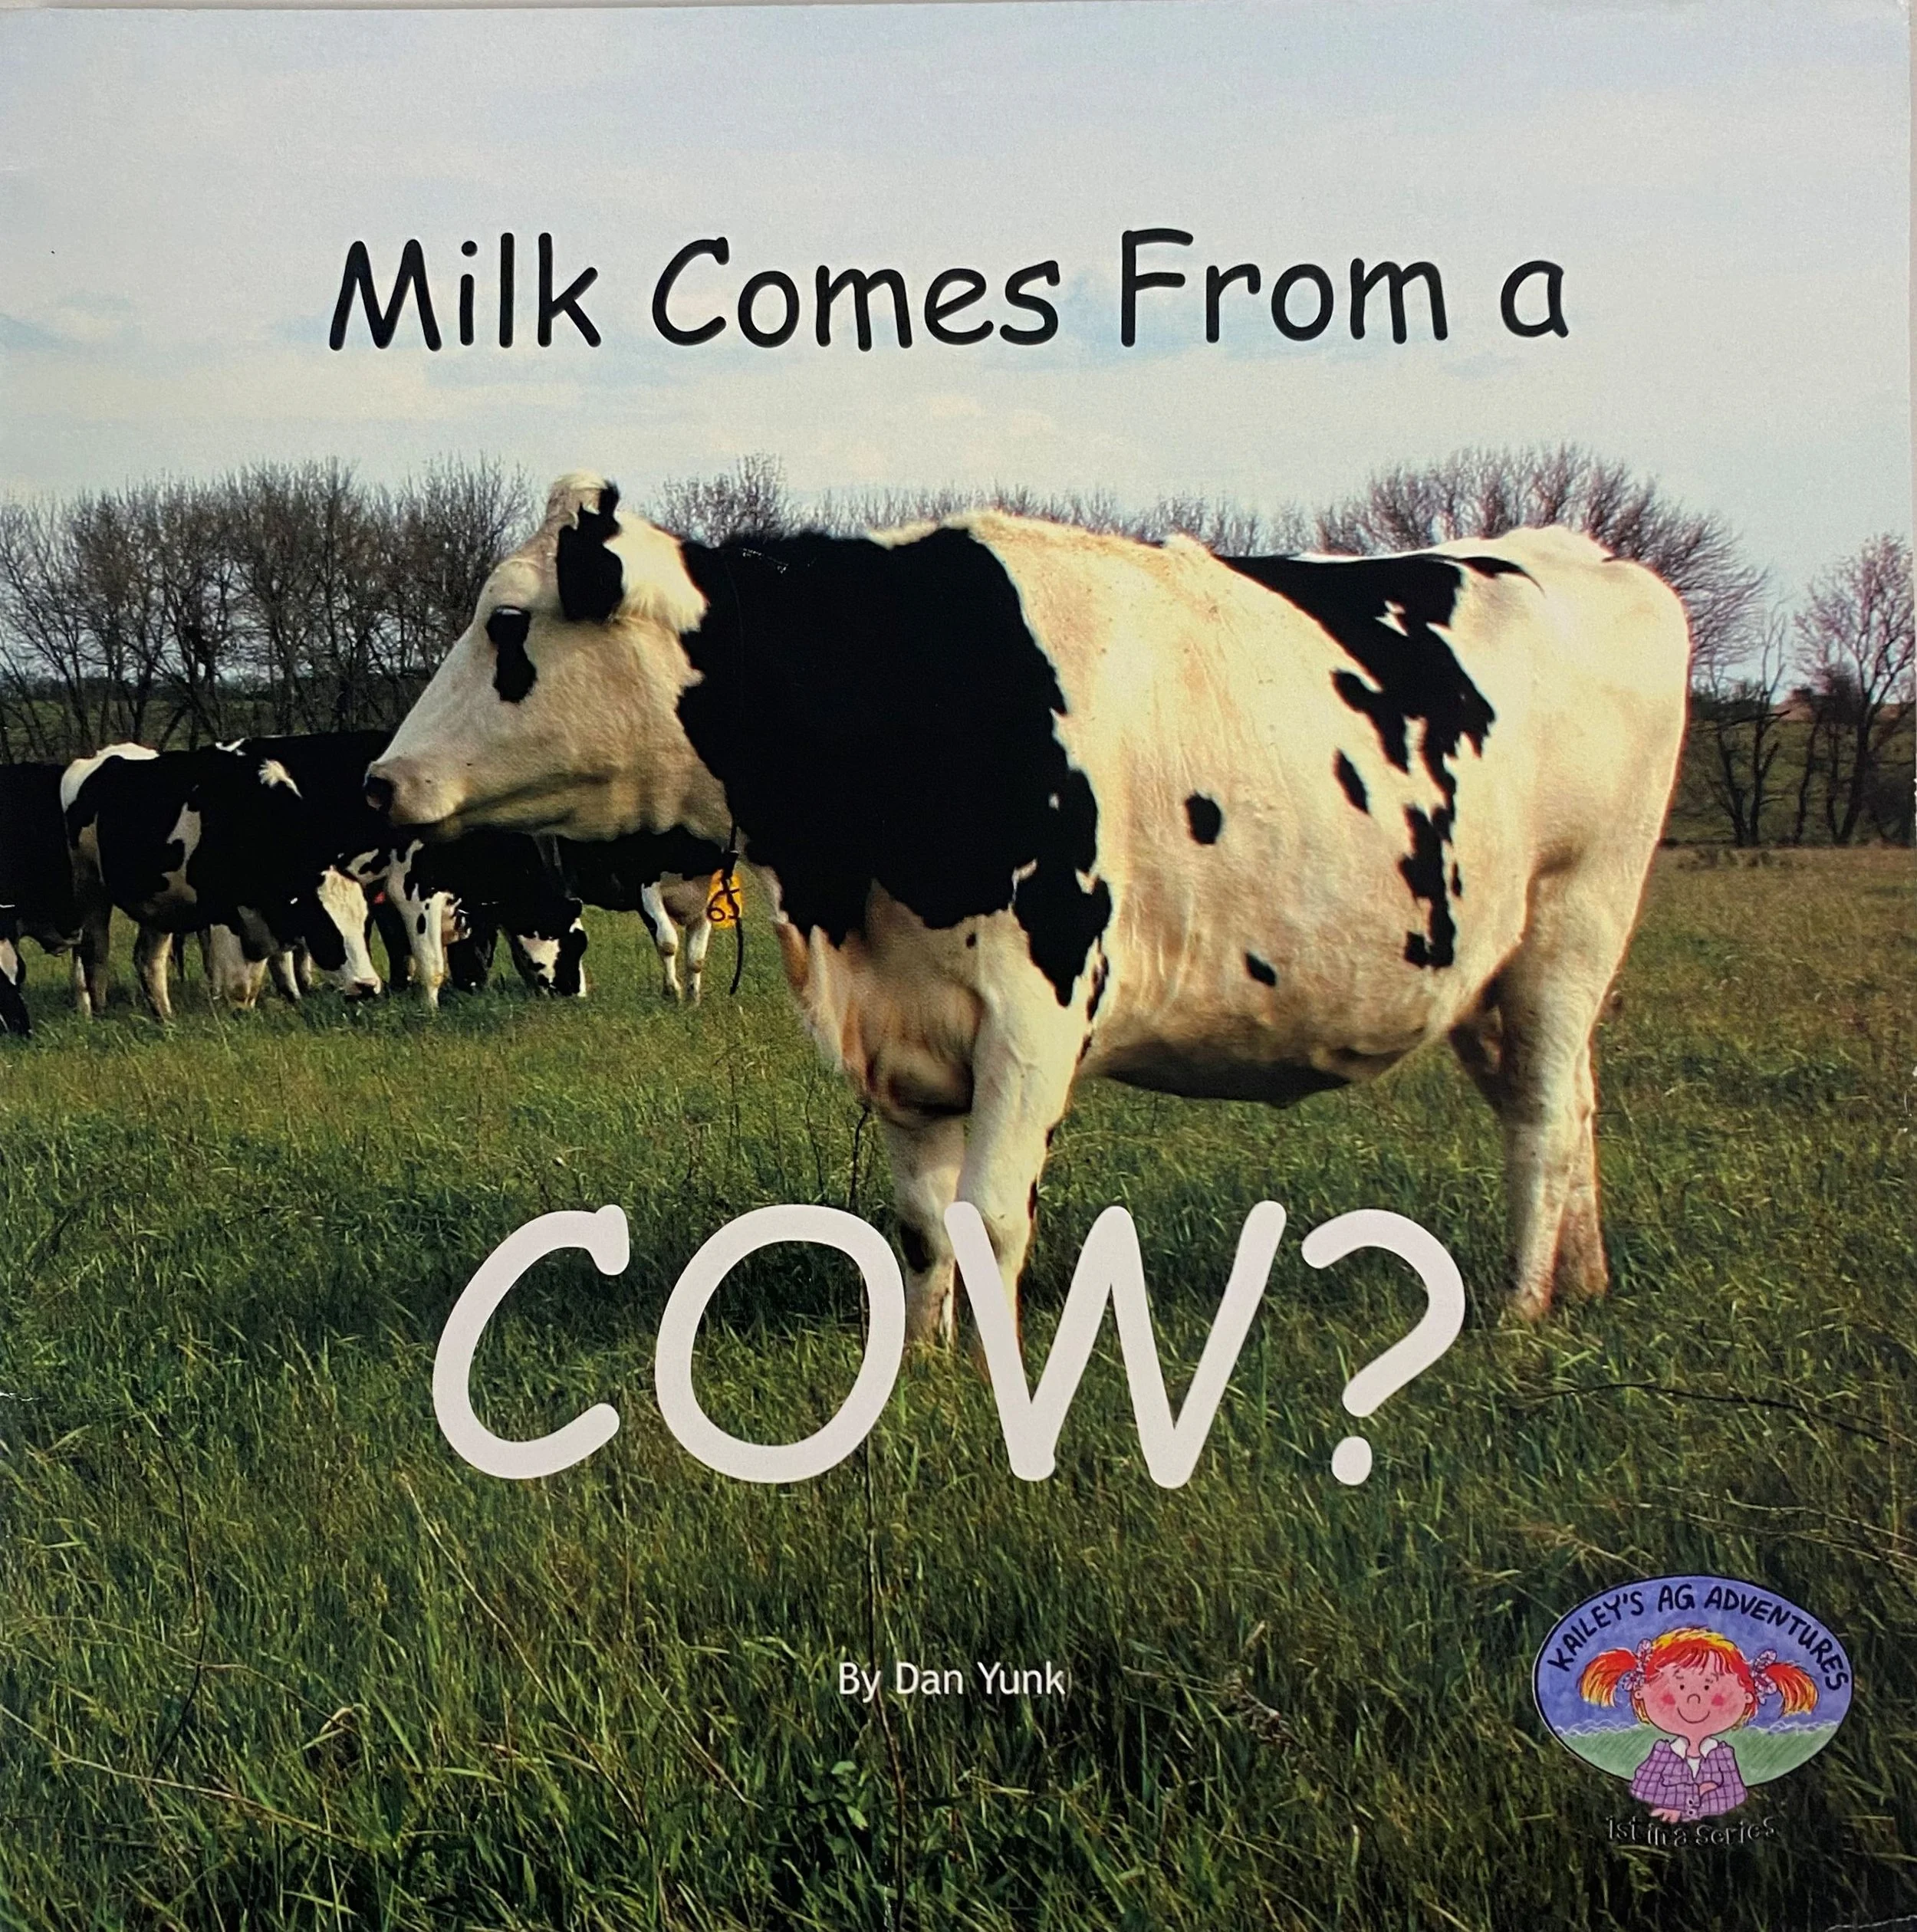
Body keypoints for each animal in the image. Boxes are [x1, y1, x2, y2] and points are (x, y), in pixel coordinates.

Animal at [63, 742, 382, 1020]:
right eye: (322, 920)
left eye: (365, 922)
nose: (367, 986)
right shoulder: (224, 911)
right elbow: (241, 988)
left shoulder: (265, 915)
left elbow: (264, 975)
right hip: (88, 884)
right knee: (93, 951)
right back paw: (97, 1012)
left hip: (158, 903)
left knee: (148, 959)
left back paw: (165, 1018)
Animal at [369, 473, 1691, 1344]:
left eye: (506, 622)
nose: (380, 779)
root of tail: (1593, 559)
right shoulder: (899, 1023)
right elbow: (920, 1224)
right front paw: (921, 1366)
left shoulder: (1035, 1002)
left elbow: (992, 1217)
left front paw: (998, 1390)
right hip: (1491, 971)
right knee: (1565, 1097)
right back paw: (1582, 1283)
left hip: (1577, 919)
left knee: (1544, 1116)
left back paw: (1518, 1310)